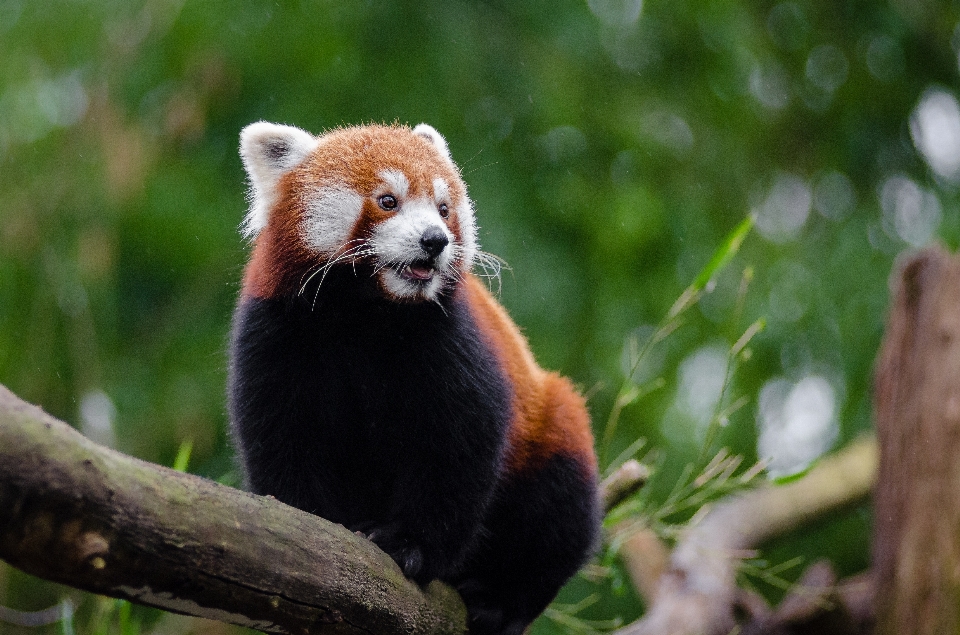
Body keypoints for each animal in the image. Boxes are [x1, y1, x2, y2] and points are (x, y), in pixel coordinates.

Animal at [227, 120, 600, 635]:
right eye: (388, 201)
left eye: (444, 208)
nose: (435, 239)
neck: (367, 312)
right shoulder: (277, 331)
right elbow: (283, 436)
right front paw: (308, 523)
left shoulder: (450, 338)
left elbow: (456, 452)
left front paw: (410, 547)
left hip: (553, 430)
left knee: (556, 516)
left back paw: (498, 602)